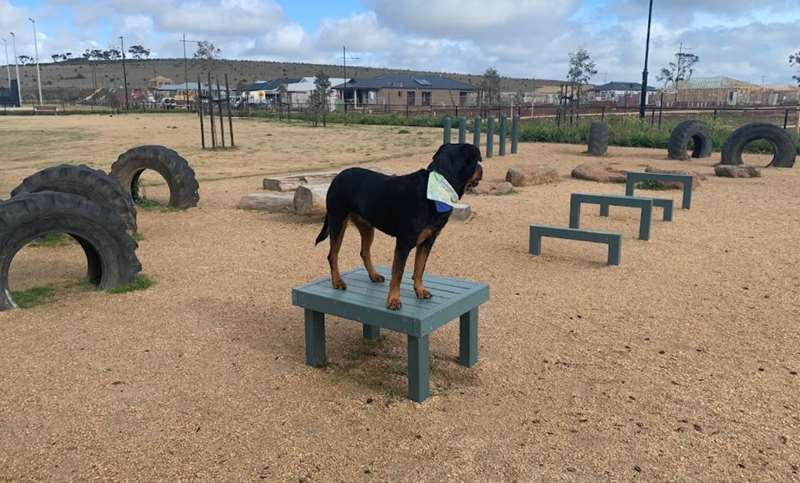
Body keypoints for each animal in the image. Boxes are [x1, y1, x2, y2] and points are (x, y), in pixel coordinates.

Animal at [318, 144, 482, 310]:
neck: (436, 186)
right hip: (338, 221)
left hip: (367, 227)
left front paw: (420, 290)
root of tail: (338, 176)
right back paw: (337, 281)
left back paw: (373, 275)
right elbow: (398, 273)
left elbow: (419, 268)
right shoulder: (404, 243)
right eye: (476, 161)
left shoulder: (427, 241)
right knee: (333, 255)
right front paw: (393, 300)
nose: (481, 169)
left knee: (364, 252)